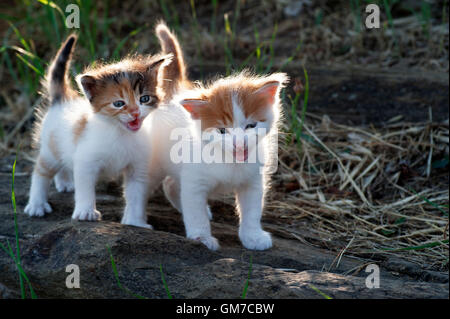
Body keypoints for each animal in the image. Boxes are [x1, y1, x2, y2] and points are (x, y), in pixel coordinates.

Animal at [25, 34, 171, 228]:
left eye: (144, 99)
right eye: (119, 103)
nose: (135, 112)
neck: (120, 134)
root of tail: (62, 99)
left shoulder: (138, 167)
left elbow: (136, 195)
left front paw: (135, 222)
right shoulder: (85, 162)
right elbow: (85, 188)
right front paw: (86, 212)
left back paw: (65, 182)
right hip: (51, 150)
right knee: (40, 171)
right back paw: (36, 204)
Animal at [148, 23, 288, 251]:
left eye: (251, 125)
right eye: (222, 131)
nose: (239, 143)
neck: (229, 161)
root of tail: (171, 94)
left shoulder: (253, 181)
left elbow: (251, 211)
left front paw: (252, 236)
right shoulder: (194, 181)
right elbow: (194, 212)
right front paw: (201, 237)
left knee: (170, 184)